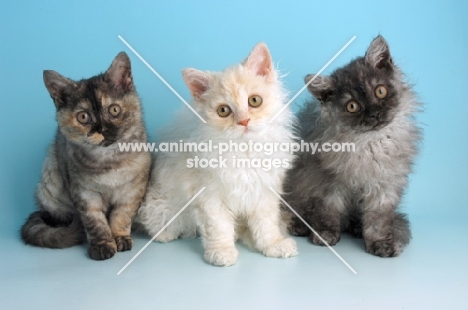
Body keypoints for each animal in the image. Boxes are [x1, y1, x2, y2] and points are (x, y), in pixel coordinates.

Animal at [21, 52, 151, 260]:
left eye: (114, 110)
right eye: (83, 117)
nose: (102, 129)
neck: (109, 161)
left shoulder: (131, 191)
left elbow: (121, 216)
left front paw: (120, 238)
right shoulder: (85, 195)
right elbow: (95, 223)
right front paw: (102, 246)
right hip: (49, 186)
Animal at [135, 43, 298, 266]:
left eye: (254, 101)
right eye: (223, 111)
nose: (244, 121)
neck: (243, 151)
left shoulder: (264, 192)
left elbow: (266, 225)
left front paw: (273, 245)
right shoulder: (209, 197)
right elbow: (218, 228)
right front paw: (222, 252)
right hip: (160, 209)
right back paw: (166, 234)